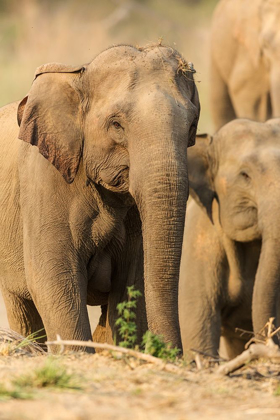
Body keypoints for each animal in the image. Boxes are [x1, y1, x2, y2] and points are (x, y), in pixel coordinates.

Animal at [0, 43, 199, 352]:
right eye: (116, 125)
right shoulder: (43, 178)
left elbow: (132, 283)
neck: (79, 76)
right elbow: (55, 278)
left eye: (192, 126)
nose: (176, 356)